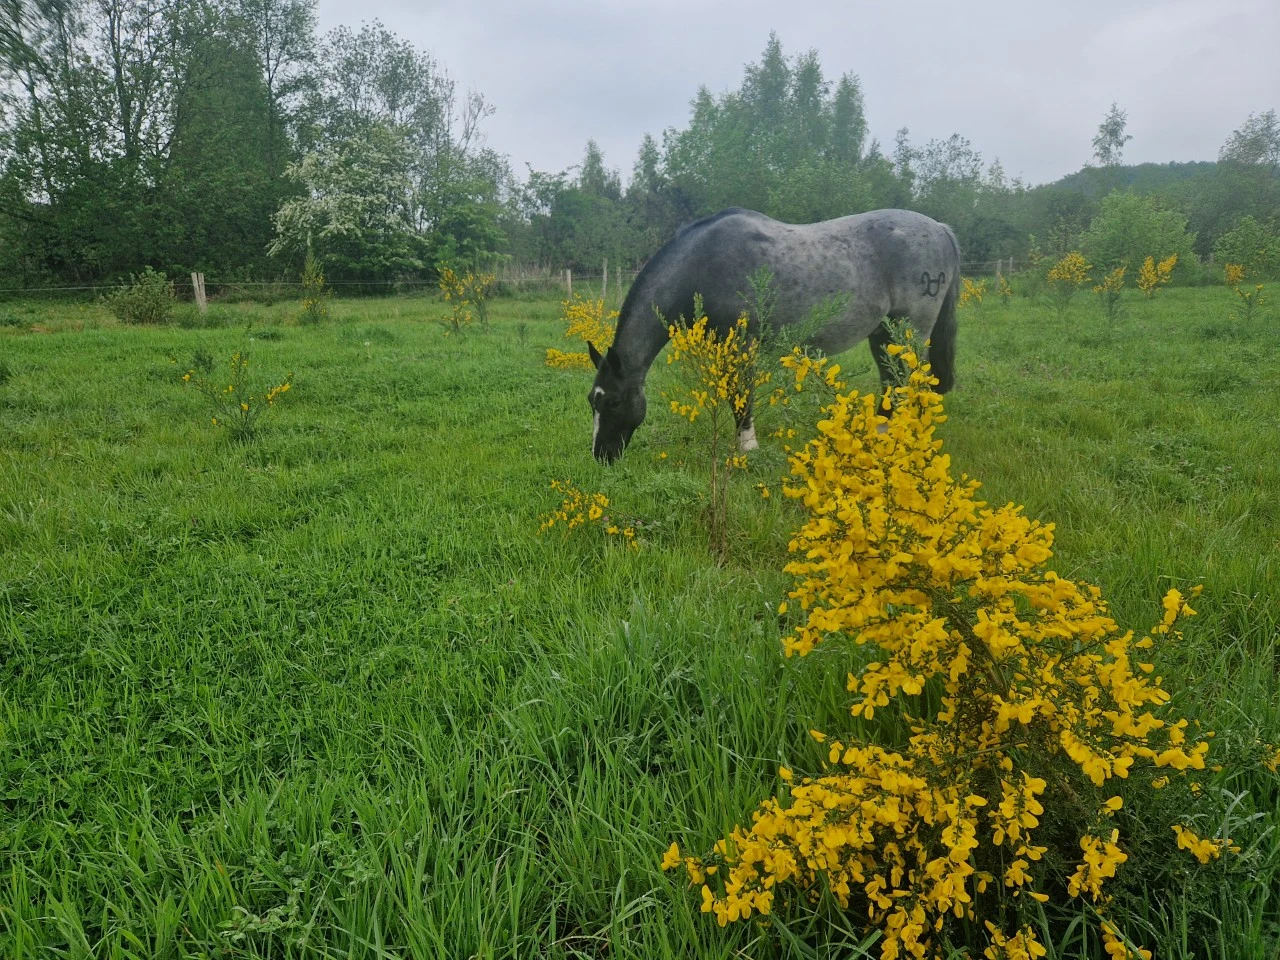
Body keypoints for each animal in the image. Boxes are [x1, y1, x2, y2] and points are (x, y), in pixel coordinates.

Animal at [587, 207, 961, 464]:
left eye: (614, 401)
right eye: (592, 400)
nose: (601, 455)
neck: (703, 264)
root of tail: (941, 229)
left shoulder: (741, 342)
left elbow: (741, 394)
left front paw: (747, 448)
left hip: (909, 329)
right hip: (884, 332)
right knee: (892, 382)